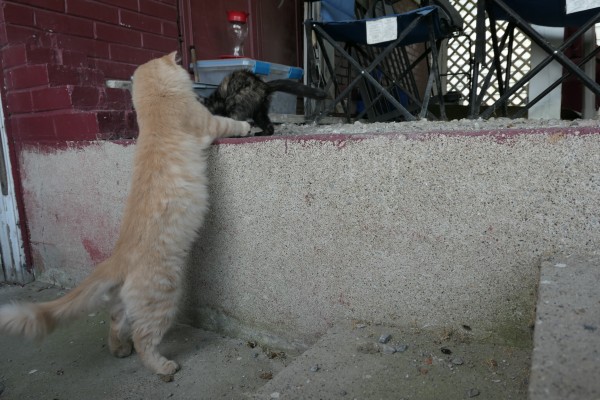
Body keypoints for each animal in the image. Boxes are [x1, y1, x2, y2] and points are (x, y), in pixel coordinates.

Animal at [0, 51, 251, 376]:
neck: (155, 110)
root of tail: (117, 257)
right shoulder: (207, 123)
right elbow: (228, 123)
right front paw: (246, 125)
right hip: (162, 298)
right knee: (144, 339)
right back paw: (164, 367)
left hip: (126, 304)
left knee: (116, 323)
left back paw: (120, 351)